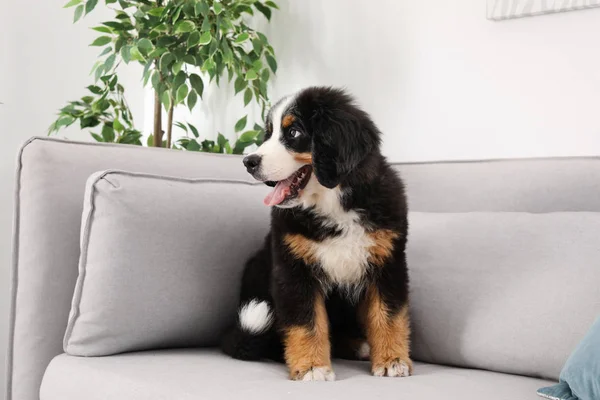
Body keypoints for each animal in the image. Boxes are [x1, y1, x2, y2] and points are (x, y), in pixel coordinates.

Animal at [221, 86, 412, 380]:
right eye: (269, 133)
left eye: (293, 132)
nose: (248, 161)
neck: (334, 206)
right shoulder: (293, 269)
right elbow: (306, 321)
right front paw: (312, 366)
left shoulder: (388, 263)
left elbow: (388, 315)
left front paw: (392, 360)